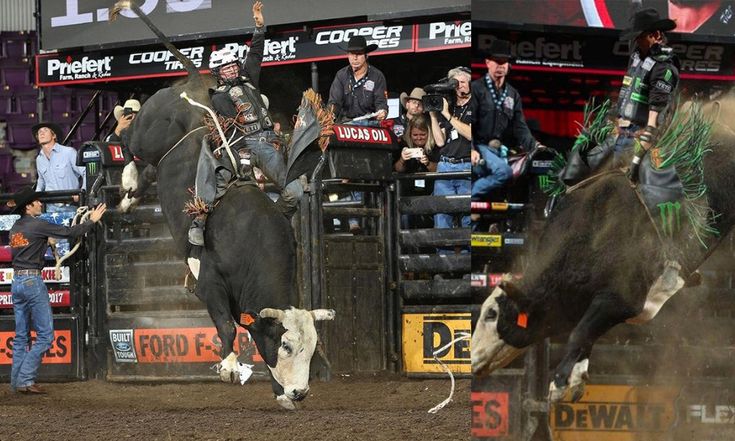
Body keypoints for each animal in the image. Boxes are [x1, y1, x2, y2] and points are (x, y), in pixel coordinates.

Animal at [110, 2, 334, 410]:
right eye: (286, 345)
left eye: (311, 350)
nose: (300, 391)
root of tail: (195, 81)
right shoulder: (208, 280)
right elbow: (226, 324)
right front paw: (230, 366)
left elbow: (244, 327)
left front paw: (279, 393)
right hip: (147, 130)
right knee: (128, 138)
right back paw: (128, 153)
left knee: (145, 164)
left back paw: (132, 194)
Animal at [472, 96, 735, 402]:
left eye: (492, 314)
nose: (471, 359)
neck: (587, 239)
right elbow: (586, 335)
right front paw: (576, 378)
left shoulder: (619, 298)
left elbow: (579, 333)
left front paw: (558, 384)